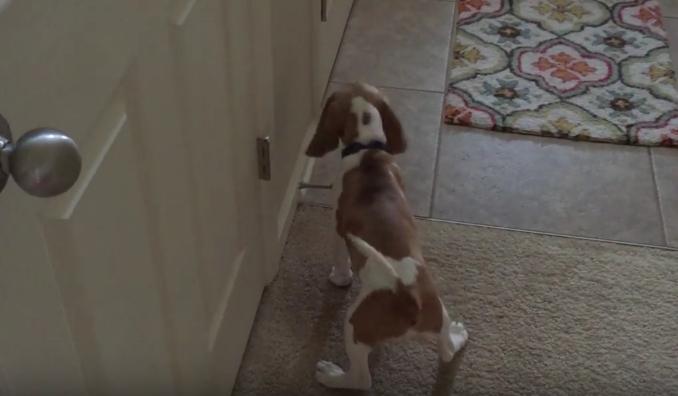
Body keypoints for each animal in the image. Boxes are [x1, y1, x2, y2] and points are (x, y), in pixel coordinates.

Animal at [306, 83, 470, 390]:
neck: (368, 151)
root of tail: (411, 300)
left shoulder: (336, 224)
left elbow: (340, 258)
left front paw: (339, 278)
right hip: (439, 313)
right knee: (447, 350)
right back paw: (457, 335)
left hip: (355, 325)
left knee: (361, 380)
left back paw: (331, 375)